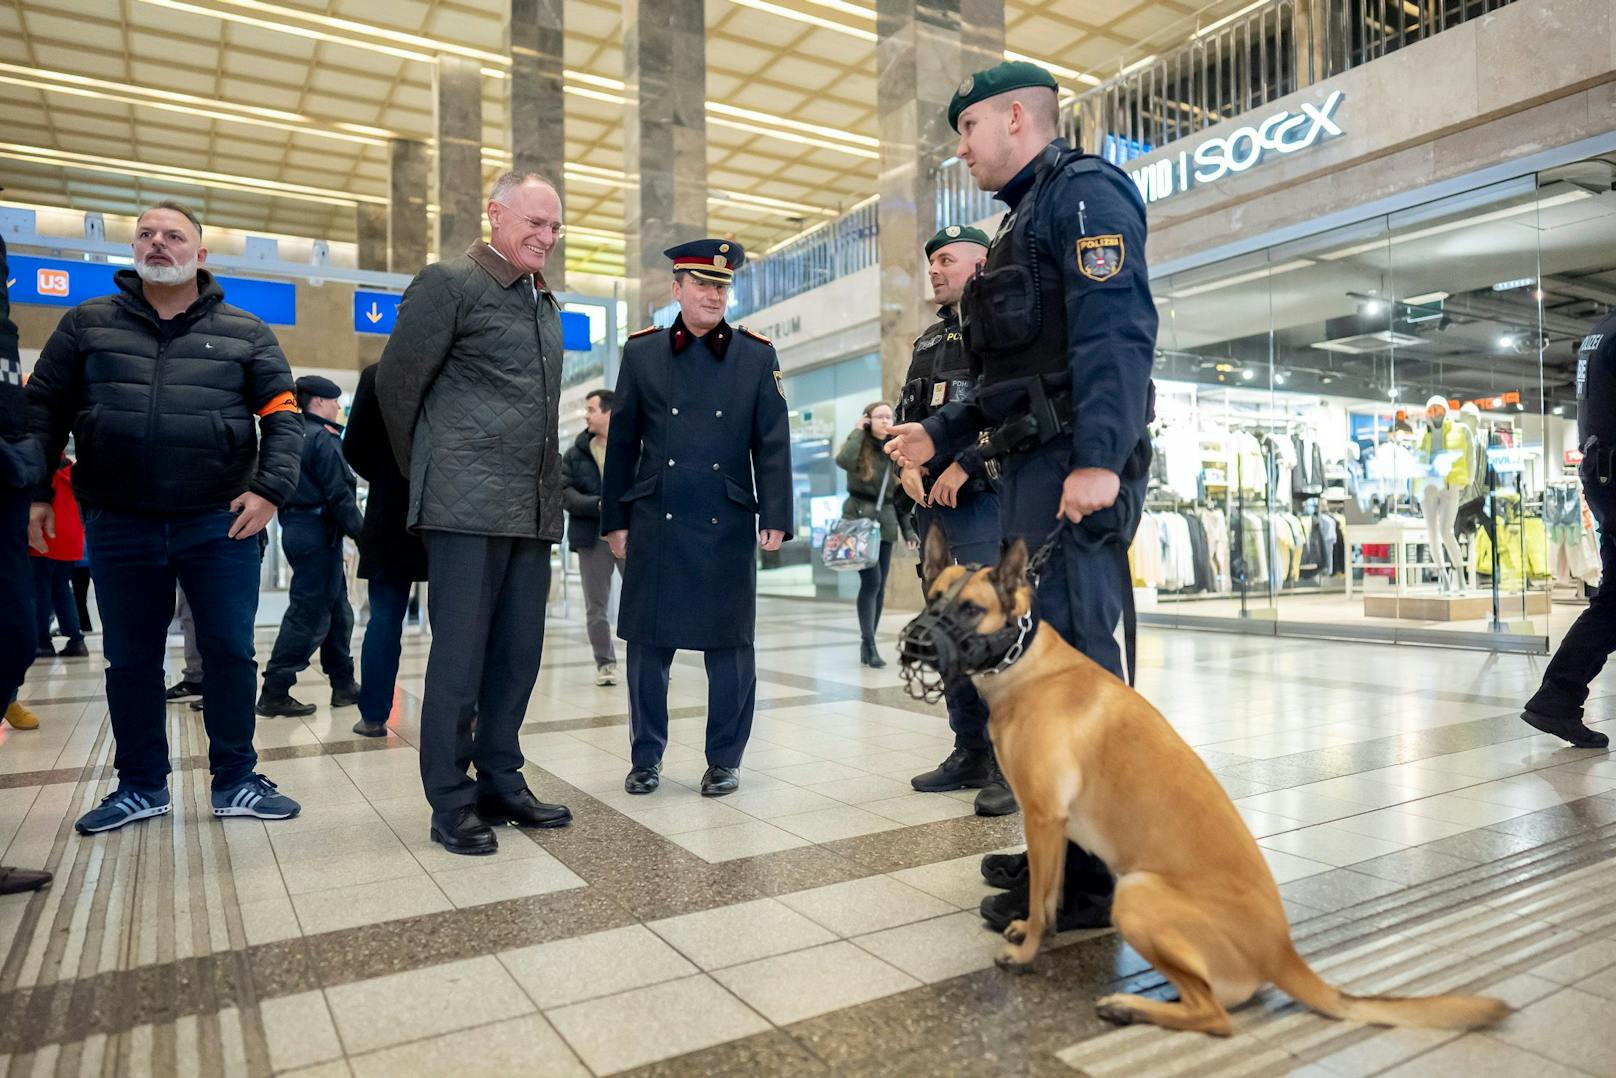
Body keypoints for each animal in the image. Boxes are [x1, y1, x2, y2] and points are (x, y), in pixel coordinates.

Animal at [904, 530, 1506, 1034]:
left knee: (1216, 1016)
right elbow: (1046, 896)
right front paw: (1036, 926)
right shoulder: (1051, 824)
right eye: (932, 599)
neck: (1021, 663)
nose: (916, 641)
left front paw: (1027, 950)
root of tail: (1282, 953)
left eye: (970, 609)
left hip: (1137, 895)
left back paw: (1131, 1006)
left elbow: (1040, 897)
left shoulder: (1044, 817)